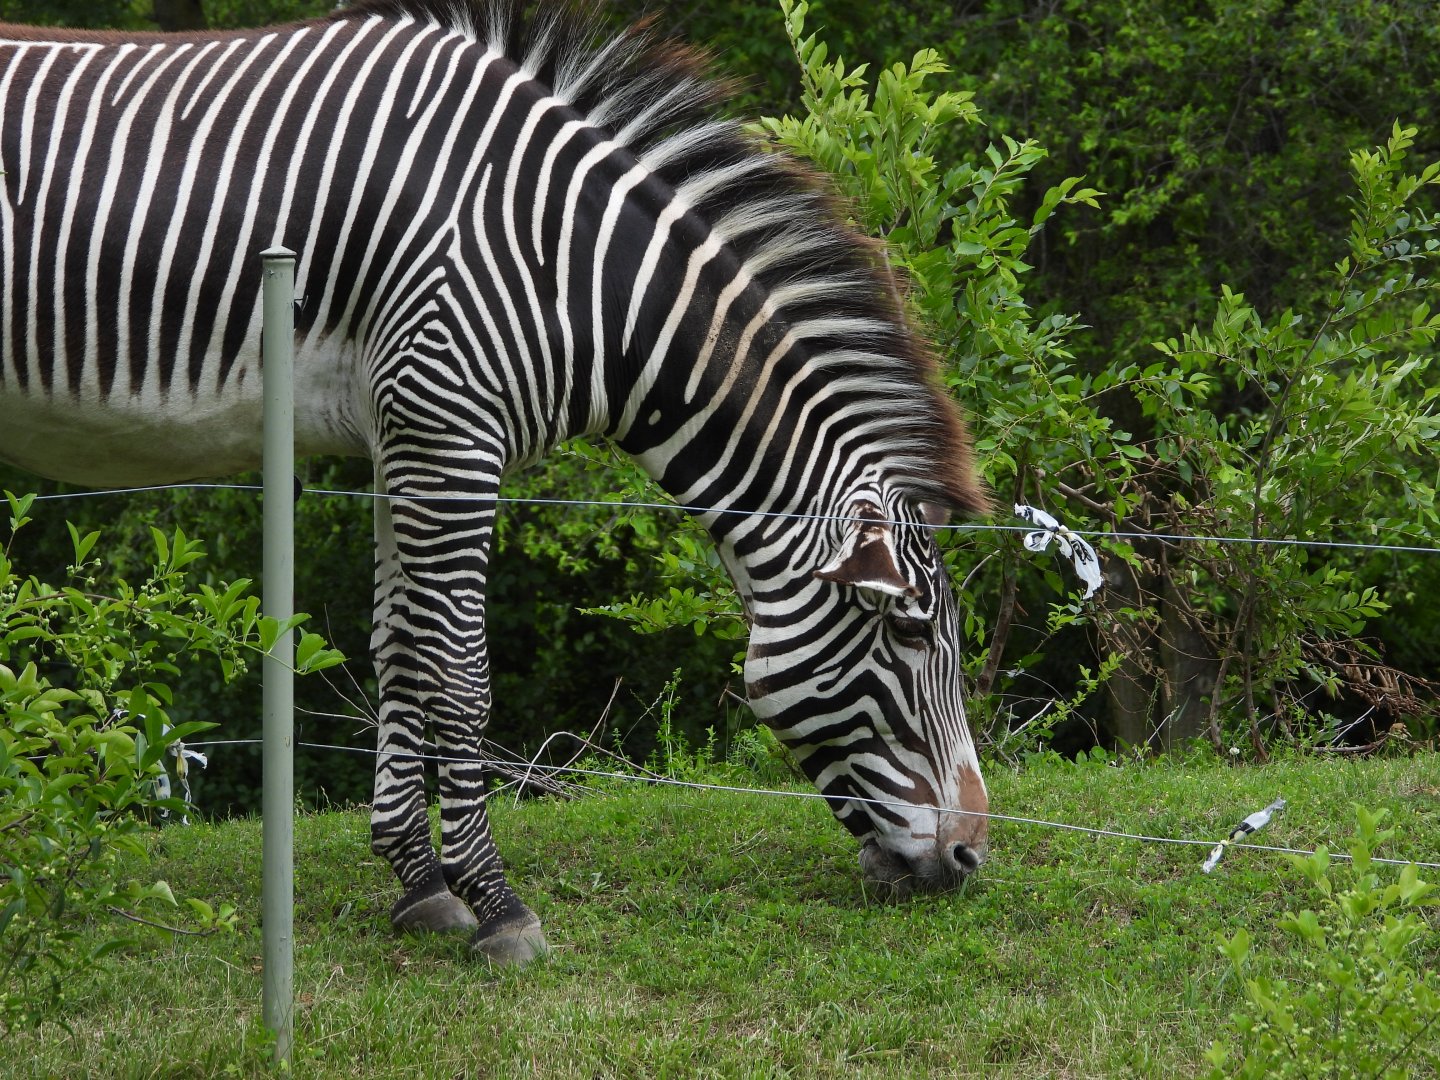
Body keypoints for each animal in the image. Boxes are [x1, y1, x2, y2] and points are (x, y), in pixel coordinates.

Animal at [0, 0, 991, 964]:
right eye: (911, 633)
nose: (971, 856)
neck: (573, 277)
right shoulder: (449, 432)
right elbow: (460, 673)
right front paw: (499, 906)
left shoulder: (402, 437)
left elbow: (399, 651)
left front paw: (420, 885)